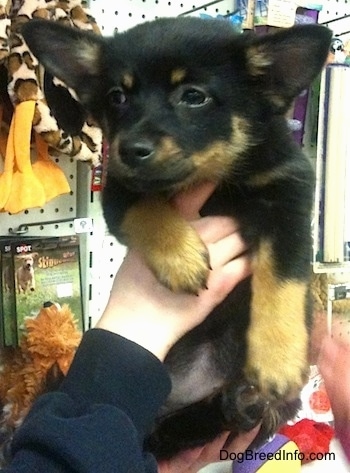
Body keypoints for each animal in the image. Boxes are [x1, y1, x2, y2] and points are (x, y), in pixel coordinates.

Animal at [21, 17, 330, 458]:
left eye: (194, 97)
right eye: (117, 96)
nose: (129, 149)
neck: (214, 179)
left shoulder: (287, 202)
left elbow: (282, 282)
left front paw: (279, 359)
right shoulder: (120, 190)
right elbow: (149, 210)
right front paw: (182, 259)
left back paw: (245, 401)